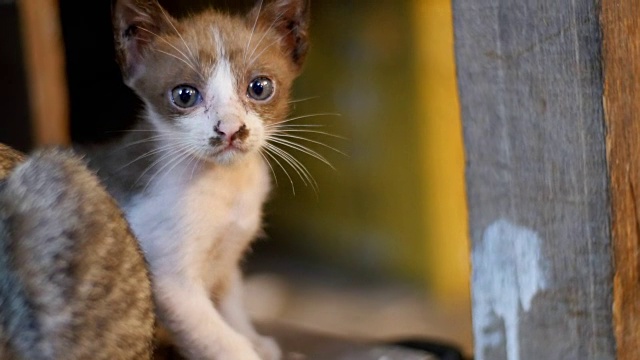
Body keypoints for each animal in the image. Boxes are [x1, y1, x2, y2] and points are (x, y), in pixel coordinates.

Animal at [82, 0, 310, 358]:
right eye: (185, 95)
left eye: (259, 88)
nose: (230, 129)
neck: (226, 187)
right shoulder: (170, 283)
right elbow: (219, 339)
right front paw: (247, 348)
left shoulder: (228, 262)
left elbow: (232, 307)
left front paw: (258, 341)